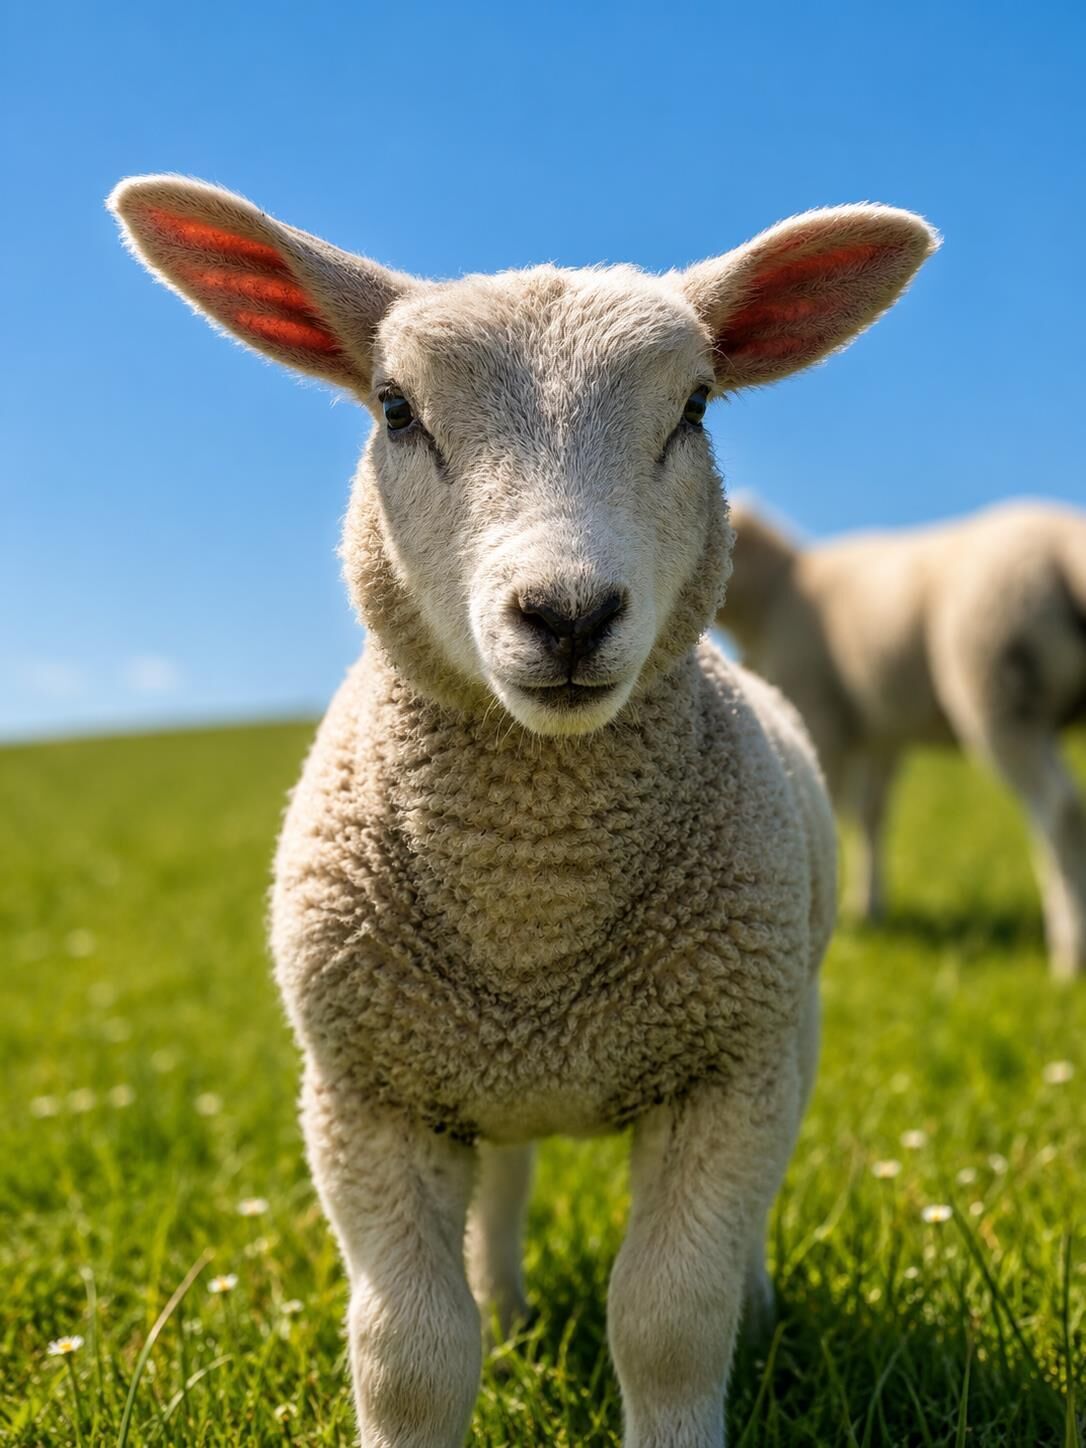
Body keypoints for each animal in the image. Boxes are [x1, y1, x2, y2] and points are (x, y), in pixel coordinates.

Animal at [109, 174, 937, 1447]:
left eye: (695, 406)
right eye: (396, 408)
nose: (568, 613)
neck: (533, 907)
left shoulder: (725, 1070)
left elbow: (668, 1322)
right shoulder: (366, 1095)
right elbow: (408, 1354)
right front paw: (462, 1347)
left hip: (786, 1028)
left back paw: (753, 1304)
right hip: (475, 1070)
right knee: (503, 1182)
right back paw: (504, 1302)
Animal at [718, 499, 1086, 979]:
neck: (779, 590)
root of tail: (1066, 547)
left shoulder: (820, 713)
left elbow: (831, 807)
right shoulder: (881, 734)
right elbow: (872, 816)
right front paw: (868, 908)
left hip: (999, 687)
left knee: (1058, 811)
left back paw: (1069, 952)